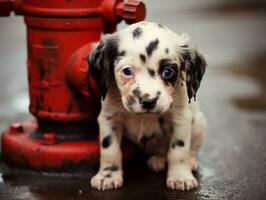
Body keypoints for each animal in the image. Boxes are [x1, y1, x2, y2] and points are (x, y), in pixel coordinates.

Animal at [88, 21, 207, 191]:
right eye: (127, 71)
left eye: (167, 72)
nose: (148, 101)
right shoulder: (109, 119)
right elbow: (110, 150)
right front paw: (107, 176)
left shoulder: (181, 118)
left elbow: (179, 150)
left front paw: (180, 177)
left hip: (198, 123)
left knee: (191, 150)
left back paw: (188, 162)